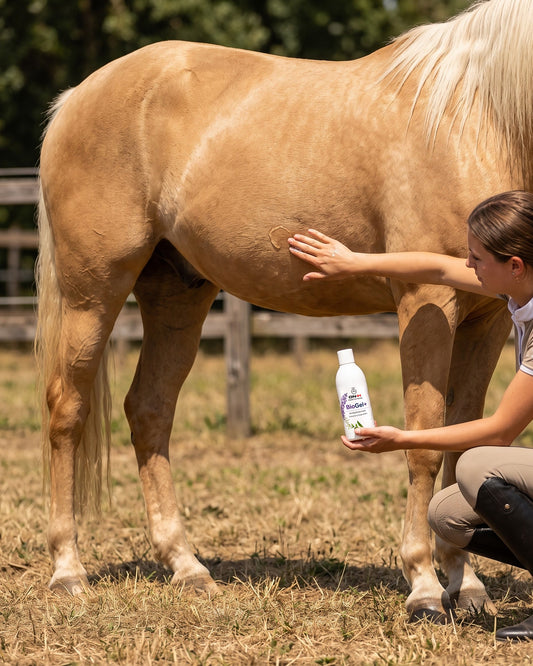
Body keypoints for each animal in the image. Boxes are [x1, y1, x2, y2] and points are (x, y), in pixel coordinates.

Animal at [36, 0, 532, 622]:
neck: (477, 119)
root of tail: (76, 96)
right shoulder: (426, 303)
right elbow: (423, 439)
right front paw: (423, 586)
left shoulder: (486, 318)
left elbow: (463, 443)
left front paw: (464, 585)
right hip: (93, 292)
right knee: (68, 409)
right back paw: (67, 571)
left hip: (176, 294)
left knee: (149, 411)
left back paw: (187, 568)